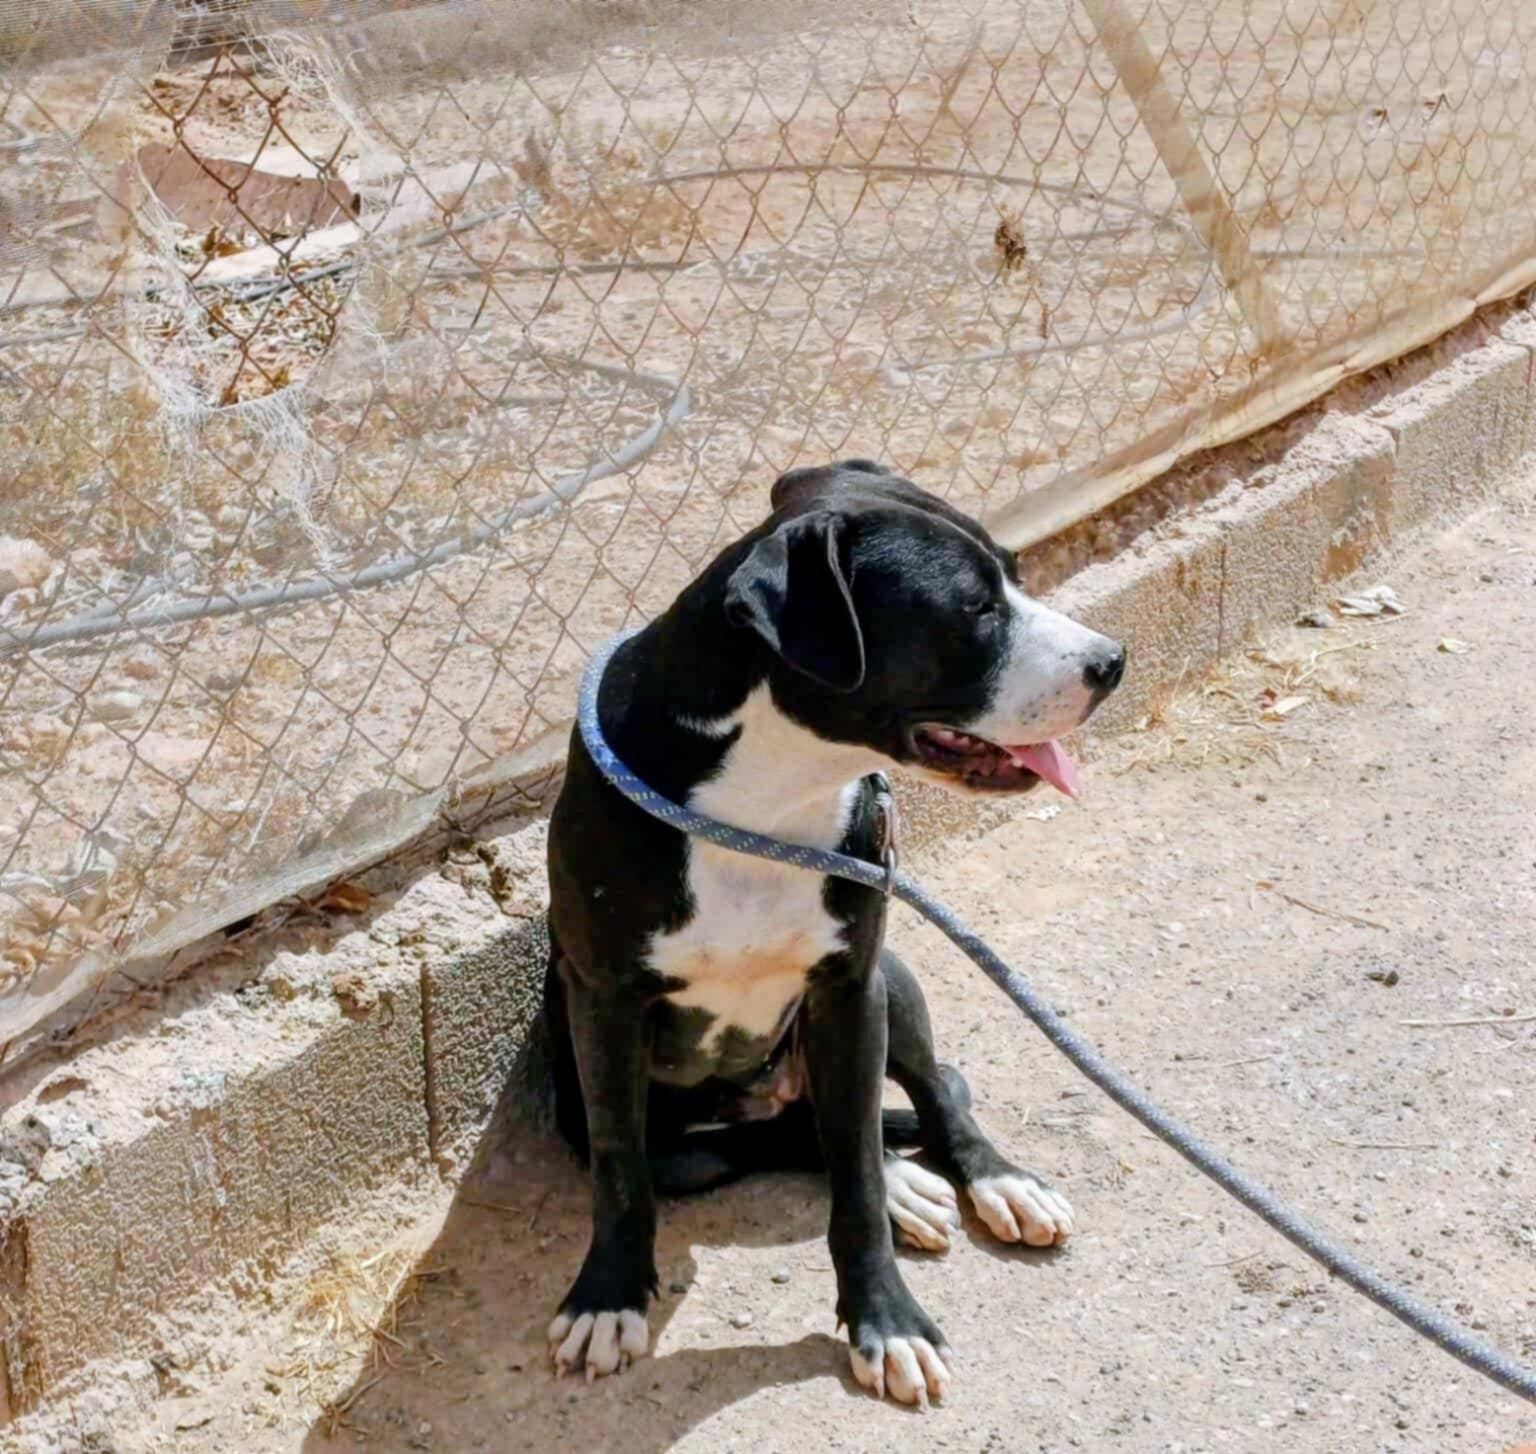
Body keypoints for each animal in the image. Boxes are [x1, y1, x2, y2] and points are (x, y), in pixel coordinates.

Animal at [542, 459, 1124, 1405]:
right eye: (975, 609)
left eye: (1012, 575)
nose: (1112, 661)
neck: (766, 800)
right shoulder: (605, 1007)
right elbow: (623, 1175)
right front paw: (607, 1297)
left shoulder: (851, 990)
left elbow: (853, 1180)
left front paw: (888, 1319)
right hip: (656, 1129)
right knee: (770, 1139)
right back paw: (903, 1181)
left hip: (897, 983)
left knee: (920, 1097)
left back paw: (990, 1181)